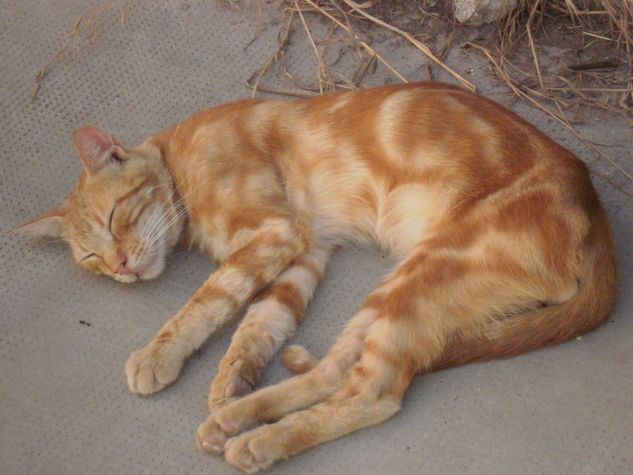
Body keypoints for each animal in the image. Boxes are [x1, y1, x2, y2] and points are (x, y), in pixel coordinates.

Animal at [16, 82, 616, 472]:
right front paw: (234, 377)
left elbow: (206, 302)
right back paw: (239, 415)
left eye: (116, 217)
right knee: (336, 371)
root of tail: (595, 211)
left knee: (375, 394)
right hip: (396, 287)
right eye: (91, 258)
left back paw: (262, 443)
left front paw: (158, 356)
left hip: (429, 271)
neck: (181, 161)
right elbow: (261, 321)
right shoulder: (307, 250)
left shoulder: (275, 232)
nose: (121, 267)